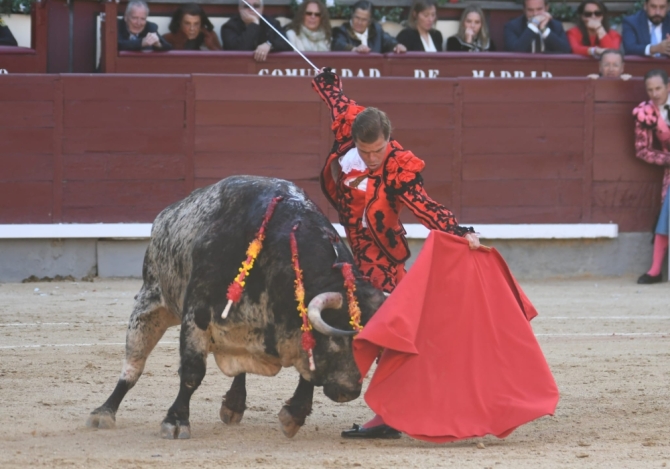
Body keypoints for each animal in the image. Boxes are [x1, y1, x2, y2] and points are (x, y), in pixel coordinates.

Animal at [86, 176, 386, 438]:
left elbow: (308, 372)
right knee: (133, 365)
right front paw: (176, 421)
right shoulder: (196, 313)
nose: (349, 390)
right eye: (337, 339)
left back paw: (234, 403)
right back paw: (104, 412)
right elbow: (193, 371)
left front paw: (293, 416)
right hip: (152, 304)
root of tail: (166, 215)